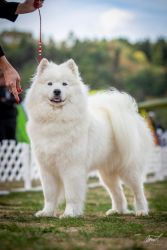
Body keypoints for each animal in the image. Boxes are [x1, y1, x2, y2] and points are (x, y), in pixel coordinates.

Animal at [25, 57, 153, 218]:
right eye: (50, 84)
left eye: (64, 84)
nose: (57, 91)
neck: (56, 119)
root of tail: (132, 114)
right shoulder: (47, 169)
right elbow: (49, 195)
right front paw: (46, 212)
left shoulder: (72, 168)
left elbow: (71, 195)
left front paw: (69, 213)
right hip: (107, 173)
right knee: (117, 191)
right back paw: (117, 210)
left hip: (129, 169)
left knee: (138, 190)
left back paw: (141, 211)